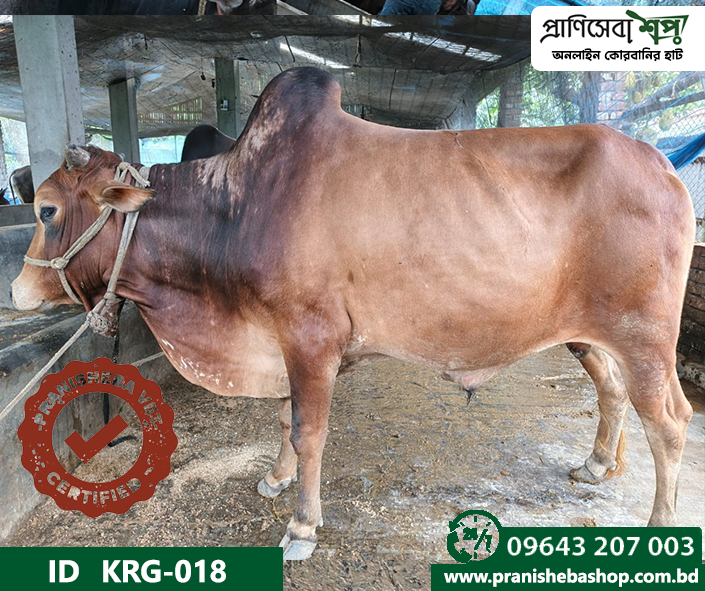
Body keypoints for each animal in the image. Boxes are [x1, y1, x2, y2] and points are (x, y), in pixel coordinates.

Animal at [11, 67, 695, 560]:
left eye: (46, 209)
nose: (16, 290)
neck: (235, 208)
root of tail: (659, 161)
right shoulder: (282, 343)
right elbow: (284, 418)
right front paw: (275, 479)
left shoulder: (311, 339)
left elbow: (308, 431)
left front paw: (301, 528)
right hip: (592, 335)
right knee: (614, 394)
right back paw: (597, 465)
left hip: (645, 338)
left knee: (669, 422)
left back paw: (661, 523)